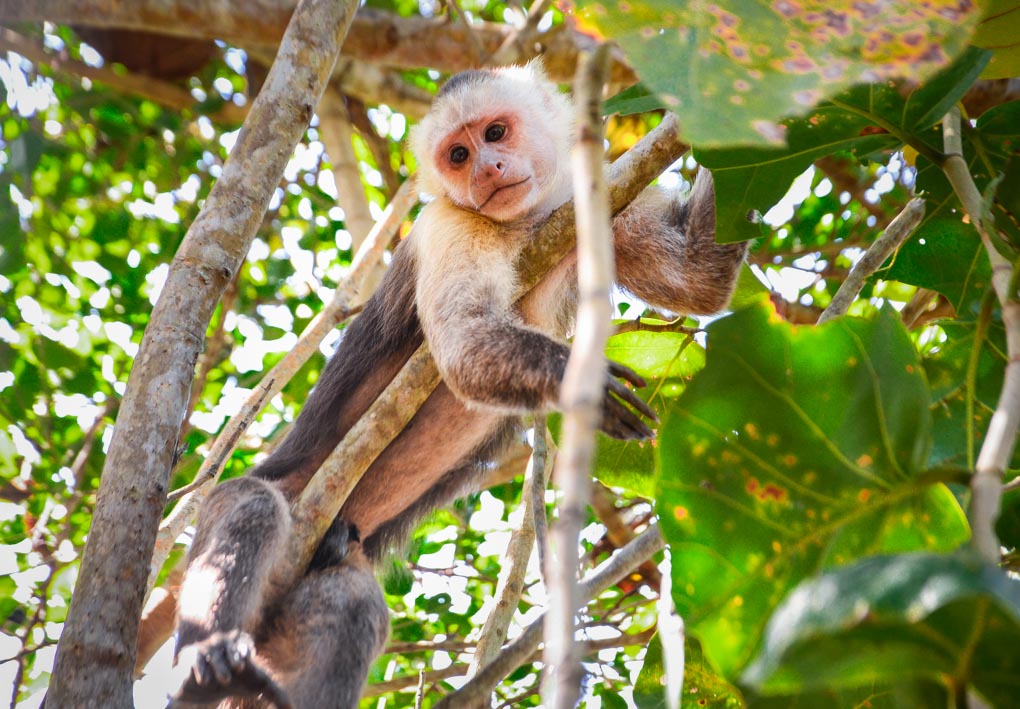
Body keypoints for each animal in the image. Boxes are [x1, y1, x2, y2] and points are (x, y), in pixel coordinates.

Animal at [172, 62, 748, 708]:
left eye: (495, 133)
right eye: (458, 154)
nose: (485, 169)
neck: (527, 223)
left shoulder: (594, 206)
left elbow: (699, 280)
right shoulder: (451, 223)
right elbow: (464, 342)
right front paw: (585, 386)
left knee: (351, 602)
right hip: (274, 501)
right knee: (252, 505)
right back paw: (208, 651)